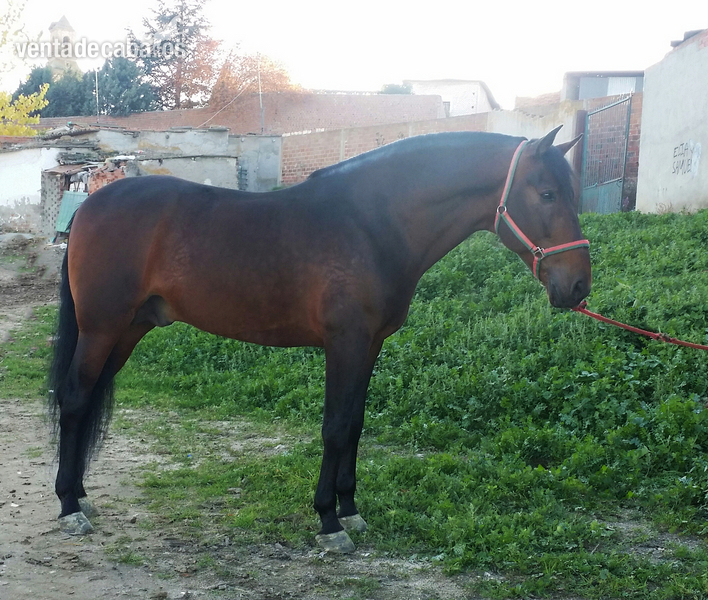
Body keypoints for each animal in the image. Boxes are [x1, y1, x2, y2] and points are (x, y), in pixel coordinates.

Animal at [48, 126, 591, 553]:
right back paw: (69, 506)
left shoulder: (369, 345)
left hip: (127, 331)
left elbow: (354, 425)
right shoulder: (344, 343)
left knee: (89, 399)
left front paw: (350, 509)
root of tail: (89, 206)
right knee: (75, 400)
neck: (372, 221)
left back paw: (81, 496)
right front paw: (329, 522)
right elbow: (334, 427)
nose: (578, 287)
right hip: (102, 328)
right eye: (546, 194)